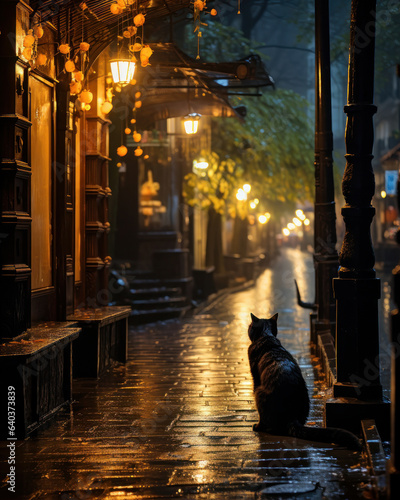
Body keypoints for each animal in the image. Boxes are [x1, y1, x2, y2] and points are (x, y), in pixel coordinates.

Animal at [247, 312, 362, 450]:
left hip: (259, 392)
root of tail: (292, 417)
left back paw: (260, 427)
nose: (248, 328)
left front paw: (256, 426)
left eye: (250, 326)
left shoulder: (255, 380)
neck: (266, 335)